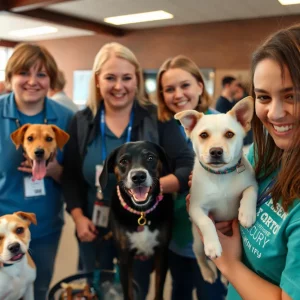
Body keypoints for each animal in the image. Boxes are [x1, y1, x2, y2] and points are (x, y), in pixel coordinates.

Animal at [99, 141, 172, 300]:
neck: (141, 213)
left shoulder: (162, 254)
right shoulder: (125, 257)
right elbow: (128, 292)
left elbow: (158, 289)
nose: (138, 176)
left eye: (150, 157)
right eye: (123, 161)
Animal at [176, 96, 258, 284]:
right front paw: (213, 245)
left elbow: (250, 192)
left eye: (229, 134)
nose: (216, 151)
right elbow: (206, 222)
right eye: (203, 135)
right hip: (198, 243)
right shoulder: (195, 207)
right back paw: (207, 272)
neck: (221, 176)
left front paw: (246, 214)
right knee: (199, 256)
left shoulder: (252, 183)